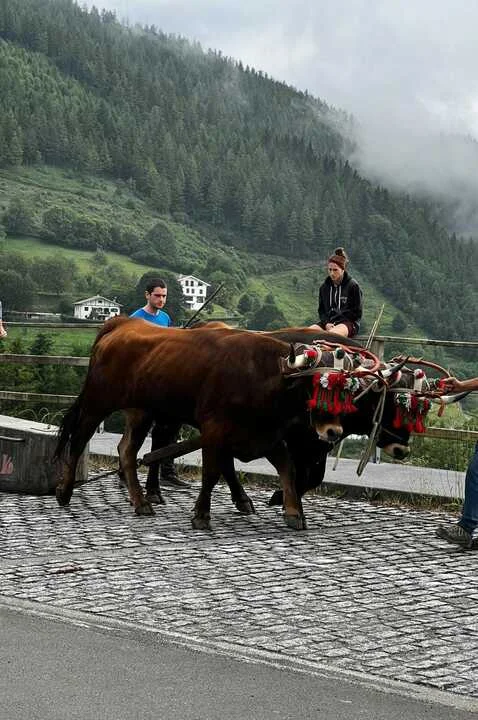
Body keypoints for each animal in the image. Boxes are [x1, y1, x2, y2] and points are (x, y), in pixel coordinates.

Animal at [55, 317, 371, 530]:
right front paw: (201, 515)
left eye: (345, 389)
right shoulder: (214, 429)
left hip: (141, 411)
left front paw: (292, 512)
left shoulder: (266, 433)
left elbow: (287, 468)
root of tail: (122, 322)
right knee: (79, 438)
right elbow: (211, 472)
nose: (333, 431)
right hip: (97, 402)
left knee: (127, 450)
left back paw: (141, 502)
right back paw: (64, 491)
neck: (263, 374)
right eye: (315, 387)